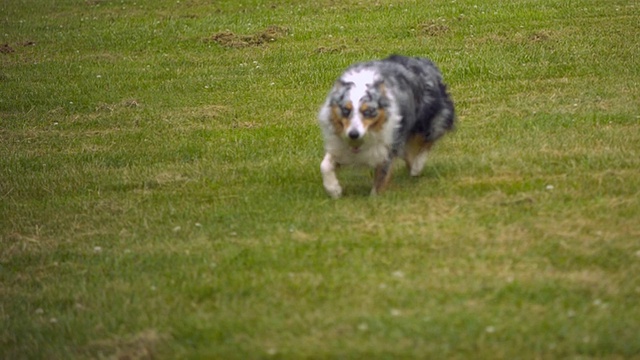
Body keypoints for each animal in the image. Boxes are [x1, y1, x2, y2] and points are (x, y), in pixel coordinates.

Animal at [318, 54, 452, 198]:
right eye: (346, 110)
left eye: (368, 111)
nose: (353, 134)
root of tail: (424, 62)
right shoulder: (341, 147)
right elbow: (324, 165)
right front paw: (334, 189)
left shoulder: (387, 146)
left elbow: (381, 178)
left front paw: (374, 199)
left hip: (427, 120)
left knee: (428, 141)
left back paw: (417, 166)